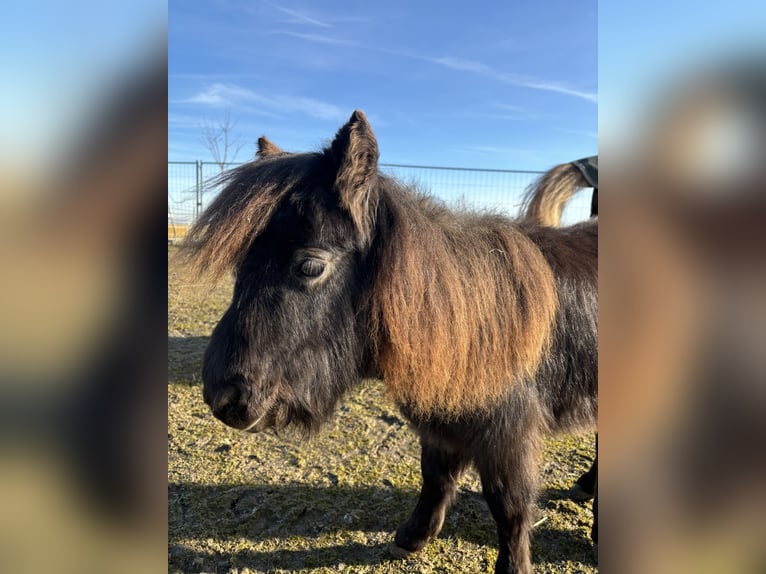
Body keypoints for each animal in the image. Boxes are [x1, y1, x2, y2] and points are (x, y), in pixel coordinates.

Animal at [182, 110, 600, 572]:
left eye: (310, 266)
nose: (223, 399)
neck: (469, 322)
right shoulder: (441, 421)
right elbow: (435, 478)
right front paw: (413, 537)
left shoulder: (508, 435)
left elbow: (509, 506)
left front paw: (513, 566)